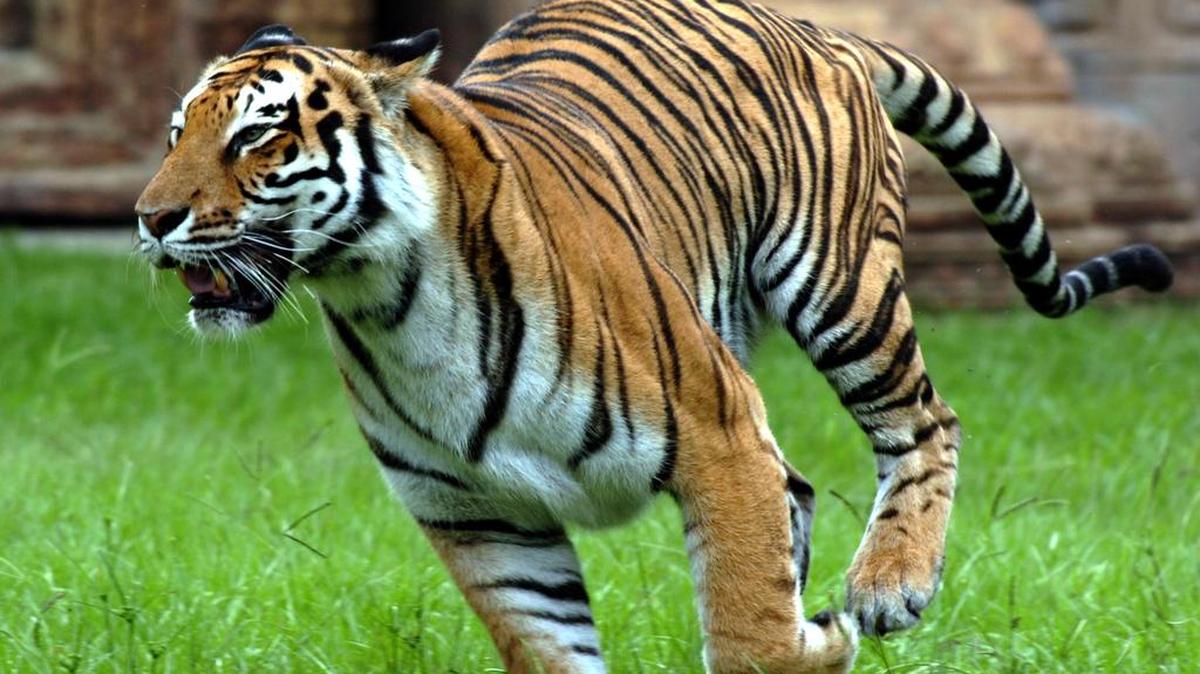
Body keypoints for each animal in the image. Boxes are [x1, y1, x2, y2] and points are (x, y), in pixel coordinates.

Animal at [134, 1, 1174, 672]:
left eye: (256, 137)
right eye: (177, 131)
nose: (149, 219)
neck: (386, 298)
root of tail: (811, 25)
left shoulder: (717, 432)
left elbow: (752, 632)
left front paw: (820, 638)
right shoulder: (478, 515)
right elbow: (555, 648)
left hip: (841, 287)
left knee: (925, 421)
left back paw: (889, 584)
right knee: (806, 487)